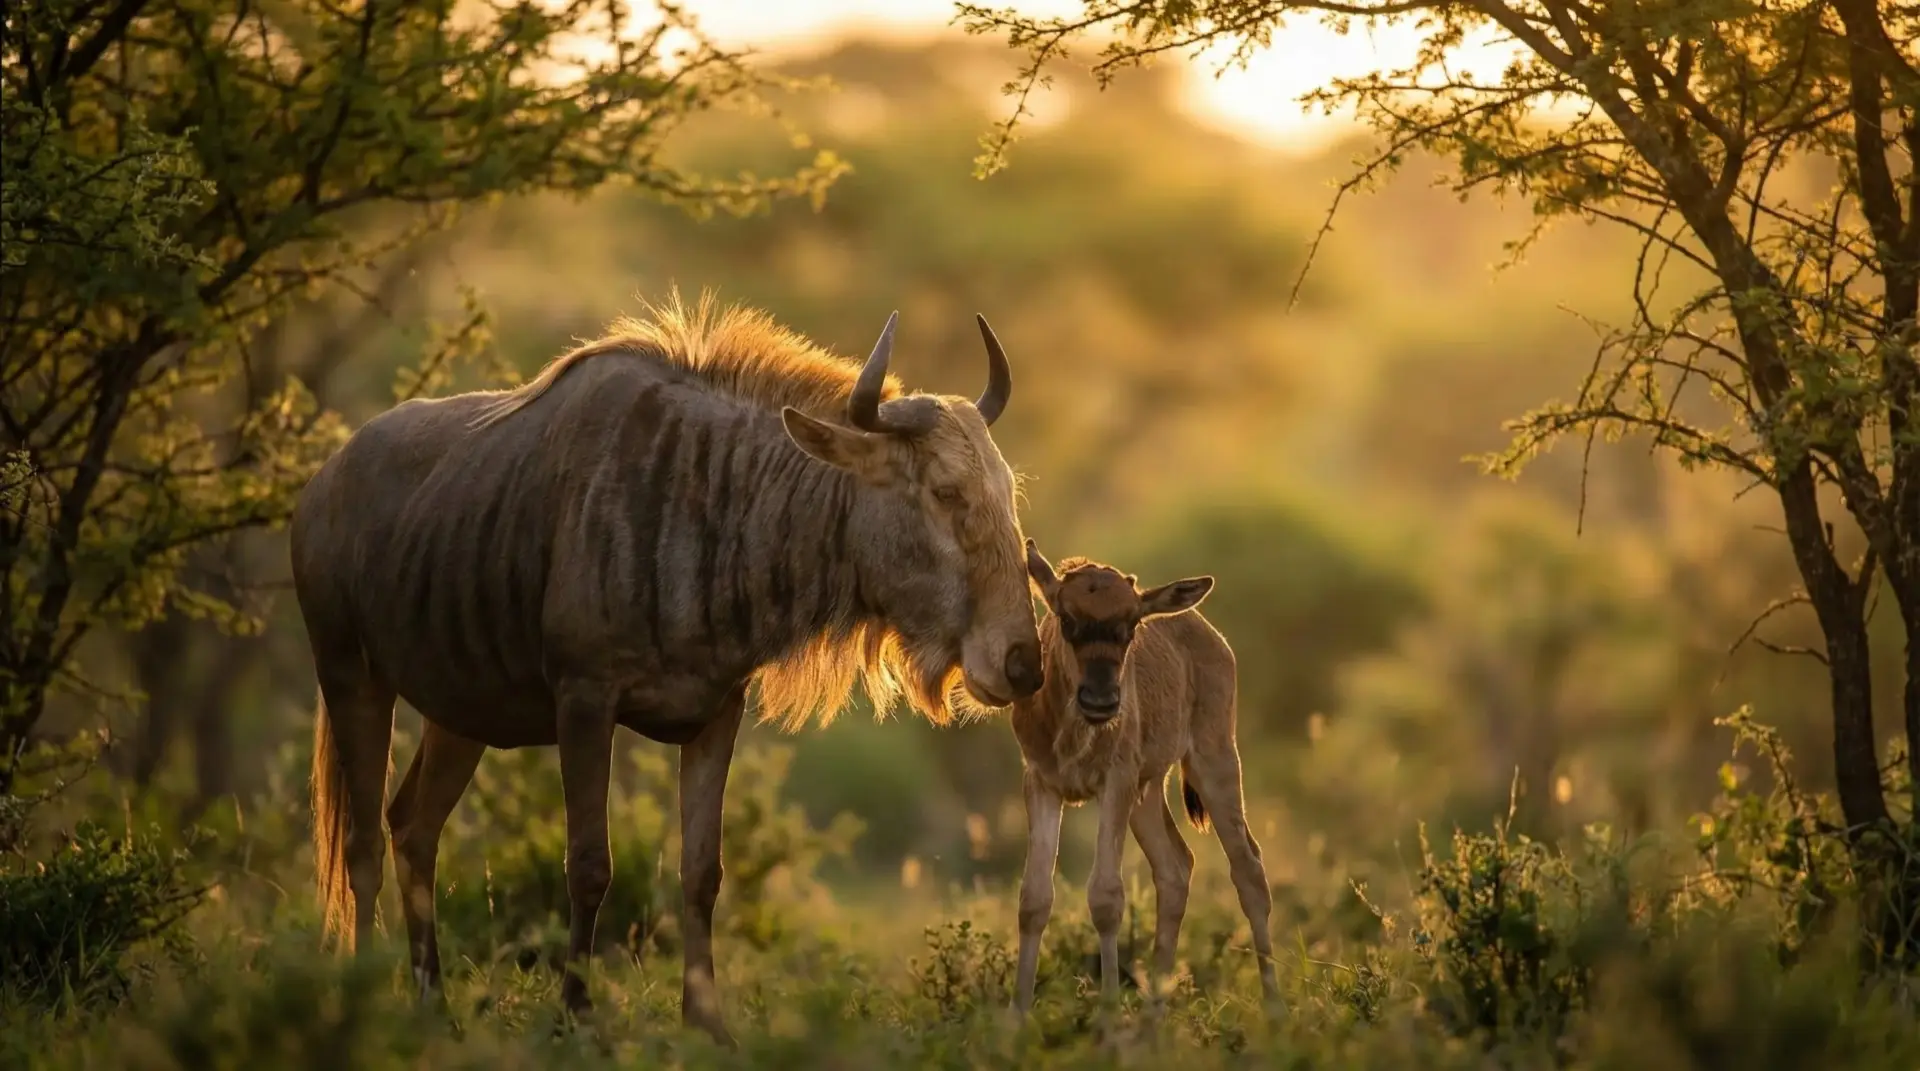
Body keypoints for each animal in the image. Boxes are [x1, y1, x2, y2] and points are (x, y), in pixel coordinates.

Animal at [1010, 541, 1280, 1013]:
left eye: (1131, 623)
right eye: (1066, 617)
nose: (1101, 701)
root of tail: (1210, 634)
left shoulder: (1115, 782)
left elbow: (1105, 897)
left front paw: (1108, 1015)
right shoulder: (1042, 784)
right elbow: (1034, 898)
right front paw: (1017, 1018)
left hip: (1213, 761)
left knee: (1248, 868)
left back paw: (1275, 1007)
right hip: (1148, 792)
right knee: (1176, 868)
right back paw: (1155, 1012)